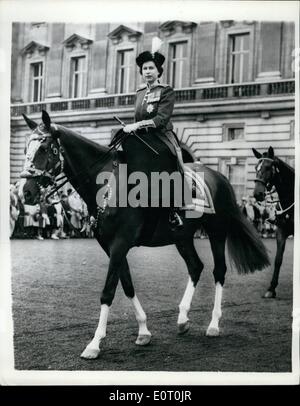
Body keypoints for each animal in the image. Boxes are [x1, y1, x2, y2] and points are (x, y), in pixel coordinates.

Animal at [252, 147, 294, 298]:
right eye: (256, 167)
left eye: (268, 167)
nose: (257, 194)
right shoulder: (281, 231)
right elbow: (278, 260)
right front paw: (271, 288)